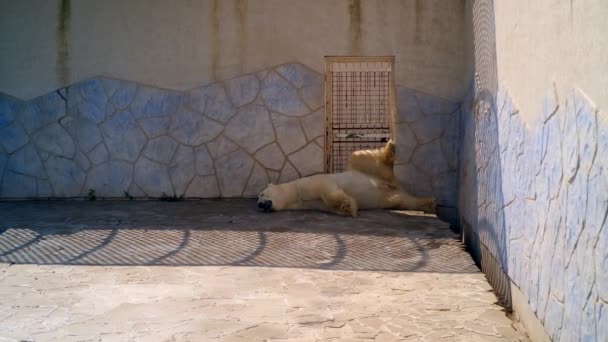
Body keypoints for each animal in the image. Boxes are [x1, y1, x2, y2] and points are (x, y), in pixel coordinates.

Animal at [256, 140, 436, 216]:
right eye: (258, 198)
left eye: (261, 194)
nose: (259, 205)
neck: (295, 194)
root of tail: (391, 183)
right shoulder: (311, 204)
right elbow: (329, 206)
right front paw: (347, 208)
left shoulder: (311, 182)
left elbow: (327, 188)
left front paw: (347, 205)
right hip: (393, 195)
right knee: (405, 201)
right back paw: (430, 204)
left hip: (369, 171)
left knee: (360, 157)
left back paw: (389, 148)